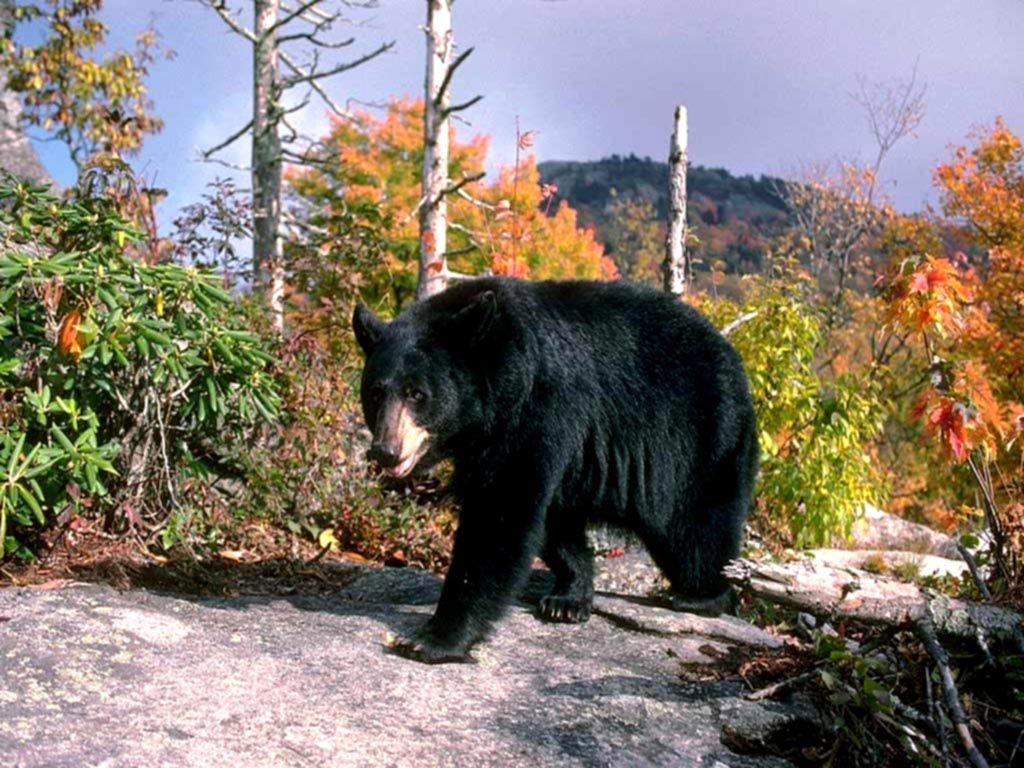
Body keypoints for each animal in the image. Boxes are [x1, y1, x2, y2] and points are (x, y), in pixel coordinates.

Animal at [352, 277, 758, 664]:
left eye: (417, 394)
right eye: (375, 393)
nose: (386, 451)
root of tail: (734, 359)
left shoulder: (536, 408)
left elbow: (501, 511)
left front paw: (433, 638)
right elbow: (541, 513)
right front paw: (570, 593)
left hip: (705, 437)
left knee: (697, 529)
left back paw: (701, 595)